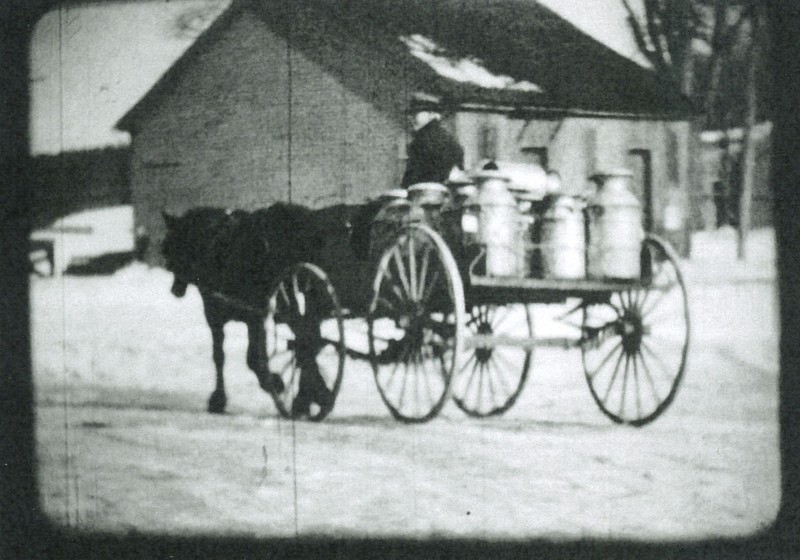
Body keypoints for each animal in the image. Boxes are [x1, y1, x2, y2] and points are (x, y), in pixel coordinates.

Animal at [162, 201, 378, 416]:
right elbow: (237, 356)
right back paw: (307, 397)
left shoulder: (230, 316)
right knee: (308, 339)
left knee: (307, 339)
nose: (175, 290)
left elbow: (235, 357)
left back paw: (308, 396)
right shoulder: (253, 316)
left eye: (171, 246)